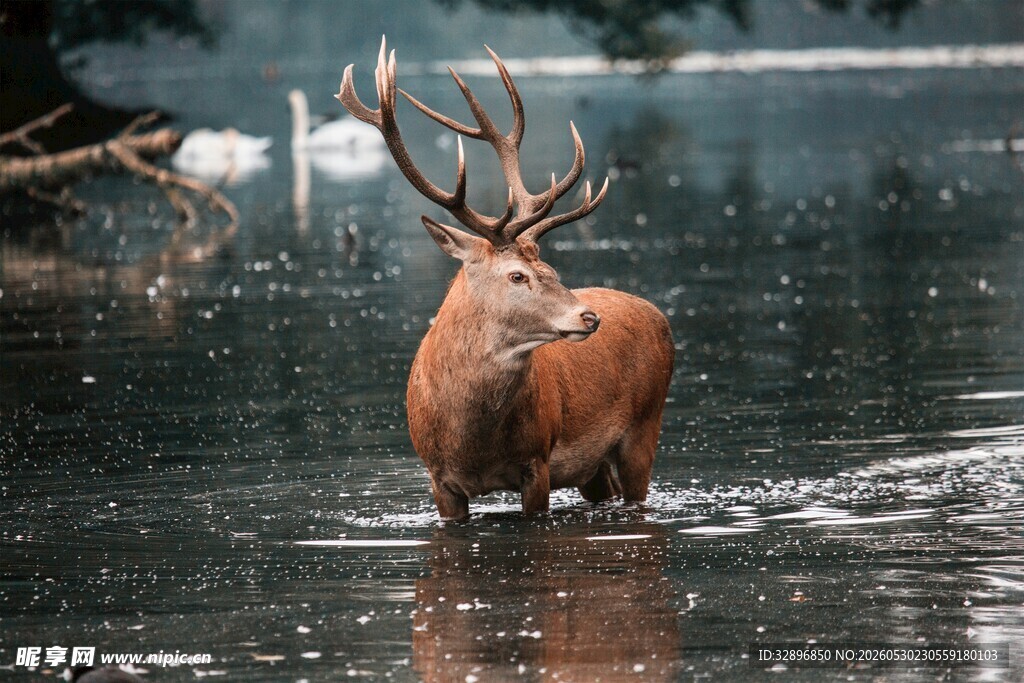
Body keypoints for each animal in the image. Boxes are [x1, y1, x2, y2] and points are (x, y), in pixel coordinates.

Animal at [337, 38, 674, 520]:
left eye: (551, 269)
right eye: (517, 275)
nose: (589, 317)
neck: (472, 444)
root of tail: (658, 315)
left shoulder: (538, 461)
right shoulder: (437, 478)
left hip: (646, 425)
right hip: (593, 467)